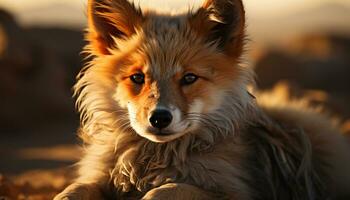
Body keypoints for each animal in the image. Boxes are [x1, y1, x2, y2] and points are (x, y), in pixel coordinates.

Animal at [54, 0, 350, 199]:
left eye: (189, 78)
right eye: (138, 78)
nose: (159, 118)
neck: (154, 159)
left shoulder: (234, 191)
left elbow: (167, 190)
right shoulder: (99, 176)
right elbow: (72, 191)